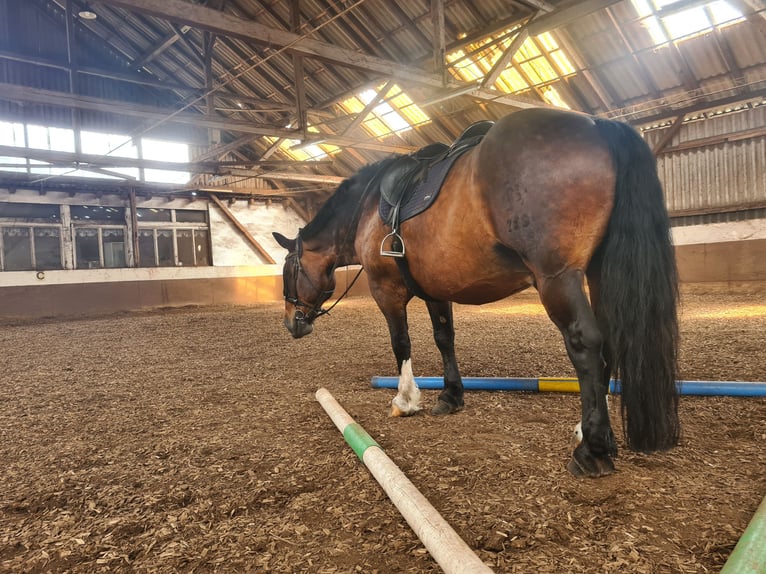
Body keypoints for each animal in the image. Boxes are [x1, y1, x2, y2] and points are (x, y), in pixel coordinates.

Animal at [272, 107, 680, 476]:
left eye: (288, 271)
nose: (292, 323)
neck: (368, 209)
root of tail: (598, 125)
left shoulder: (386, 290)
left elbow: (401, 343)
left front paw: (405, 400)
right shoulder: (435, 290)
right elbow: (444, 339)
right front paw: (451, 396)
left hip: (558, 278)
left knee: (586, 345)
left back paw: (591, 449)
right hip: (594, 273)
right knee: (608, 343)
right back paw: (591, 433)